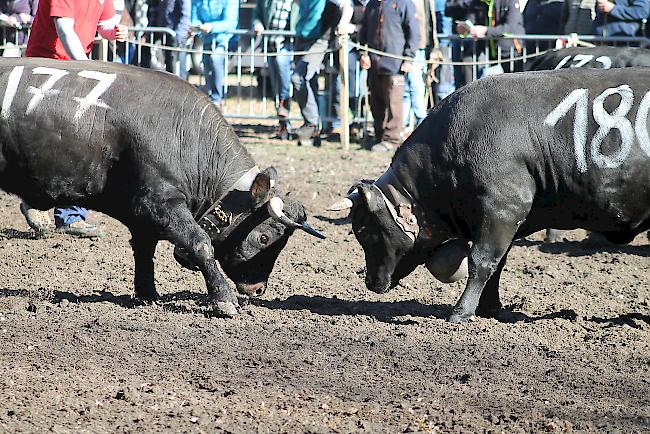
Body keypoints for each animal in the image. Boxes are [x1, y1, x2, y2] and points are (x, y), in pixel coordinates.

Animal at [330, 68, 648, 322]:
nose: (371, 282)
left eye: (365, 231)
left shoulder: (502, 210)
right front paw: (489, 308)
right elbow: (497, 264)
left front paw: (460, 313)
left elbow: (481, 262)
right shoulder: (502, 220)